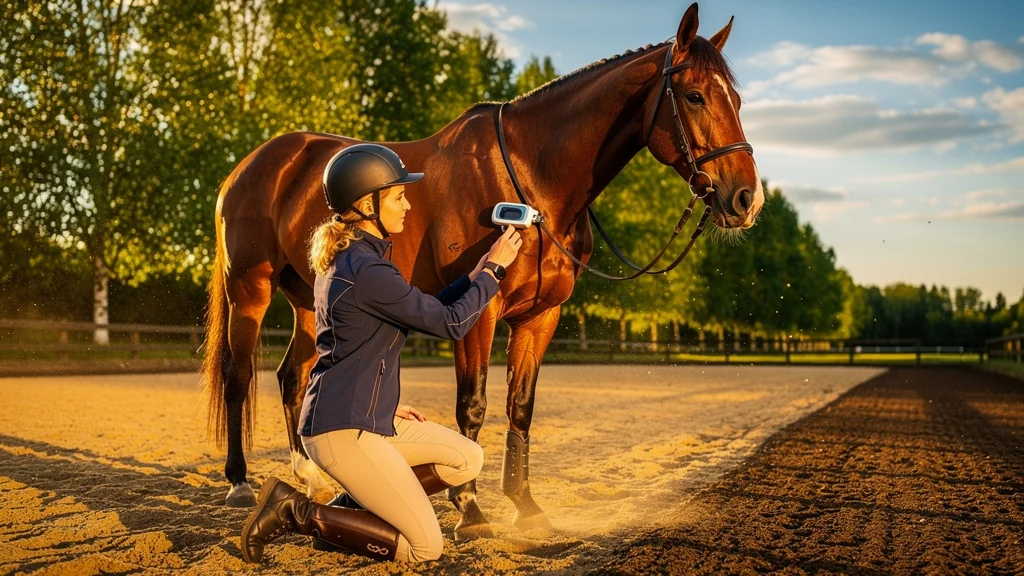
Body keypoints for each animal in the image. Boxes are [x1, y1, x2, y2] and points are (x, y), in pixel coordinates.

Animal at [201, 2, 763, 540]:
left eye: (736, 100)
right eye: (694, 95)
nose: (745, 199)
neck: (534, 177)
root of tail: (253, 163)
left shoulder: (540, 316)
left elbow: (521, 406)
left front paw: (525, 507)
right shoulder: (477, 313)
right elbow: (472, 407)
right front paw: (470, 510)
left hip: (307, 299)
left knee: (293, 377)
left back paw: (312, 477)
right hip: (249, 290)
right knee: (238, 374)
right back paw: (239, 484)